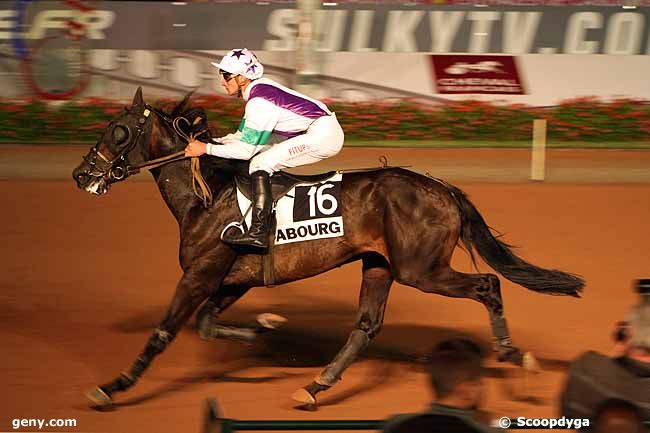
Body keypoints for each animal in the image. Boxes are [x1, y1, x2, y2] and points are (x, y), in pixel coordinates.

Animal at [73, 88, 584, 408]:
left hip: (421, 269)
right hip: (380, 266)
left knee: (488, 284)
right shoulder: (232, 279)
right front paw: (264, 328)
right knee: (366, 326)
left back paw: (512, 354)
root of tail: (443, 188)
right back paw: (315, 386)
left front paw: (112, 386)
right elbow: (207, 324)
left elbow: (164, 332)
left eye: (117, 131)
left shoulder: (200, 275)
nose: (81, 174)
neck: (208, 197)